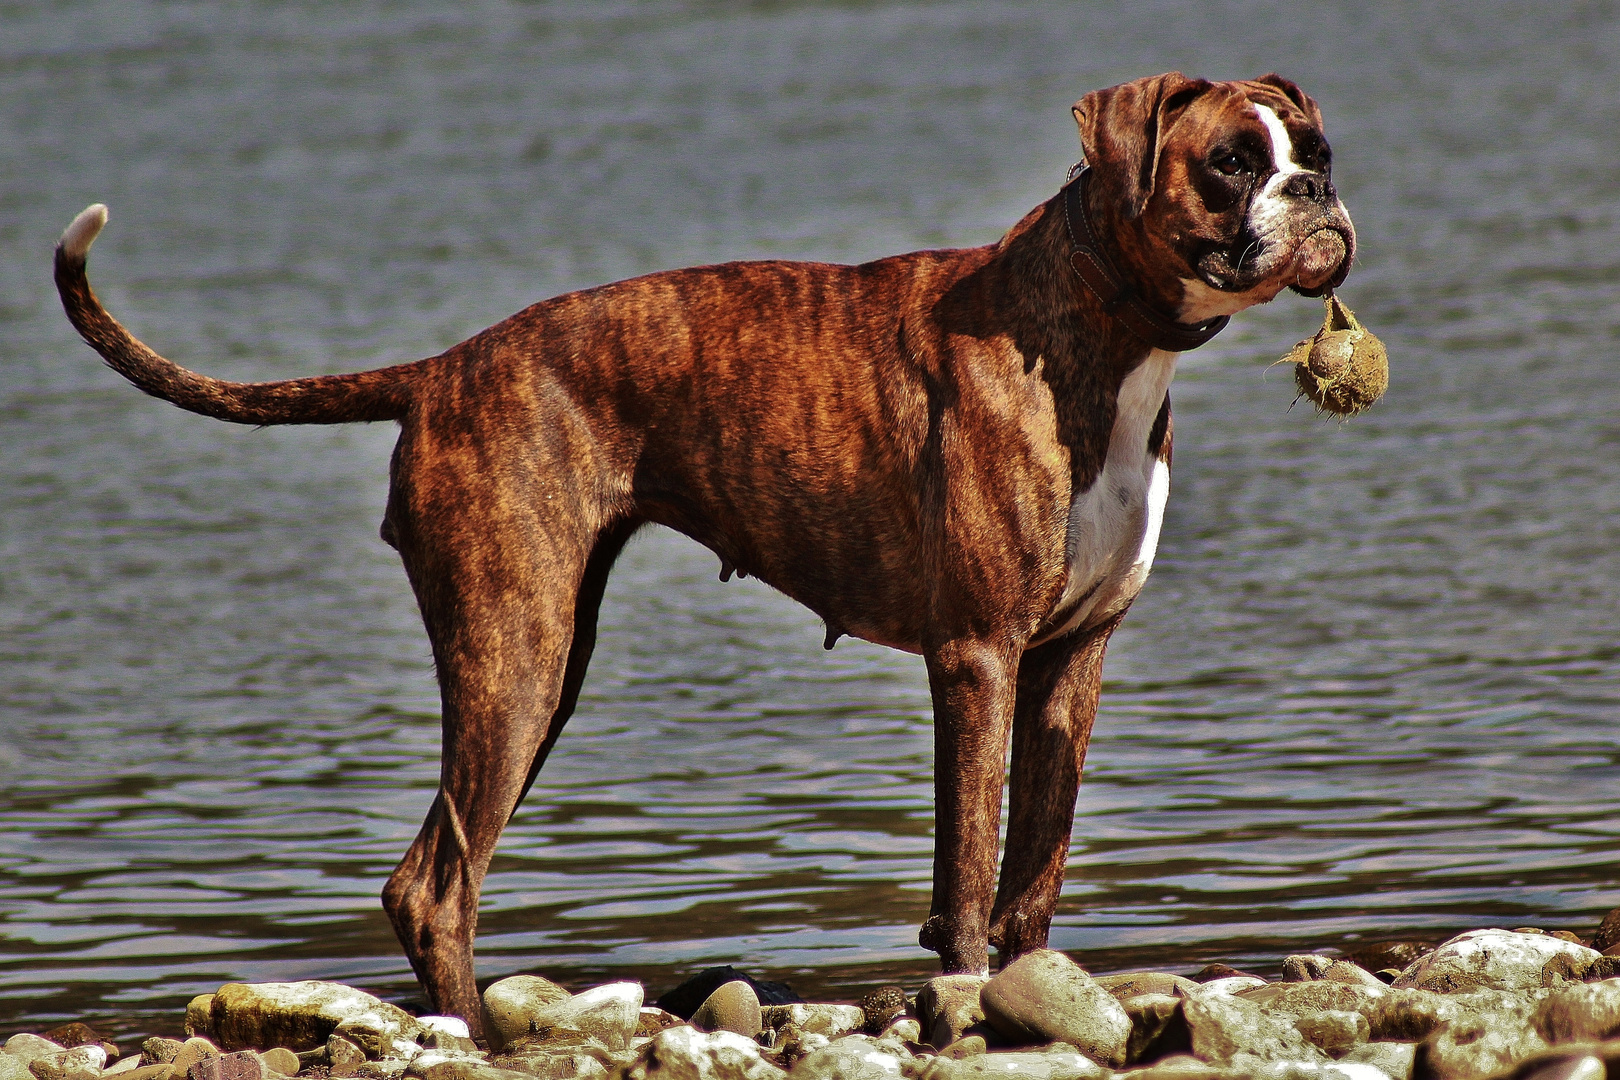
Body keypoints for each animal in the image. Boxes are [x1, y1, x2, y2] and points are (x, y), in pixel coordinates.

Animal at [57, 71, 1354, 1036]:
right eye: (1231, 162)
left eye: (1315, 147)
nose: (1317, 189)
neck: (1095, 320)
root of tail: (443, 370)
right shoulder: (978, 661)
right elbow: (970, 875)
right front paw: (966, 999)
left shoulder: (1068, 665)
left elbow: (1033, 870)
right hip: (513, 661)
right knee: (435, 884)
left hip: (541, 663)